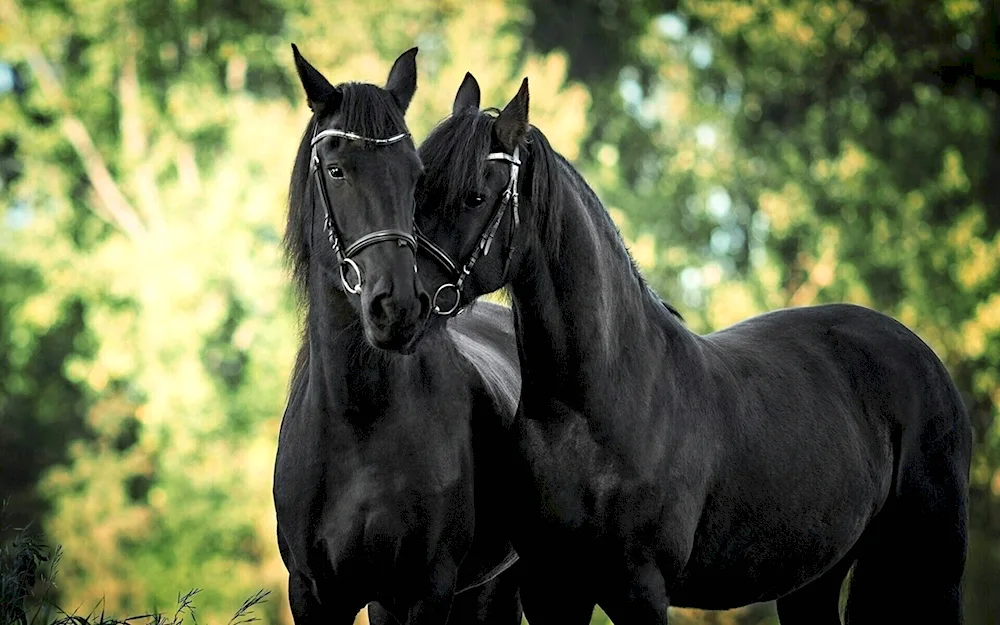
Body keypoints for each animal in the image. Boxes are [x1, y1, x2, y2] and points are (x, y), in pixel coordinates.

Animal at [274, 46, 524, 620]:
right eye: (337, 171)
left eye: (415, 176)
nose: (398, 309)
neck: (359, 422)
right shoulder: (315, 594)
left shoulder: (422, 591)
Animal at [402, 74, 972, 624]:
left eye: (475, 197)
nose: (402, 298)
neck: (596, 409)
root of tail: (923, 357)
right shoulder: (552, 590)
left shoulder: (639, 592)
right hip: (813, 580)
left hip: (934, 567)